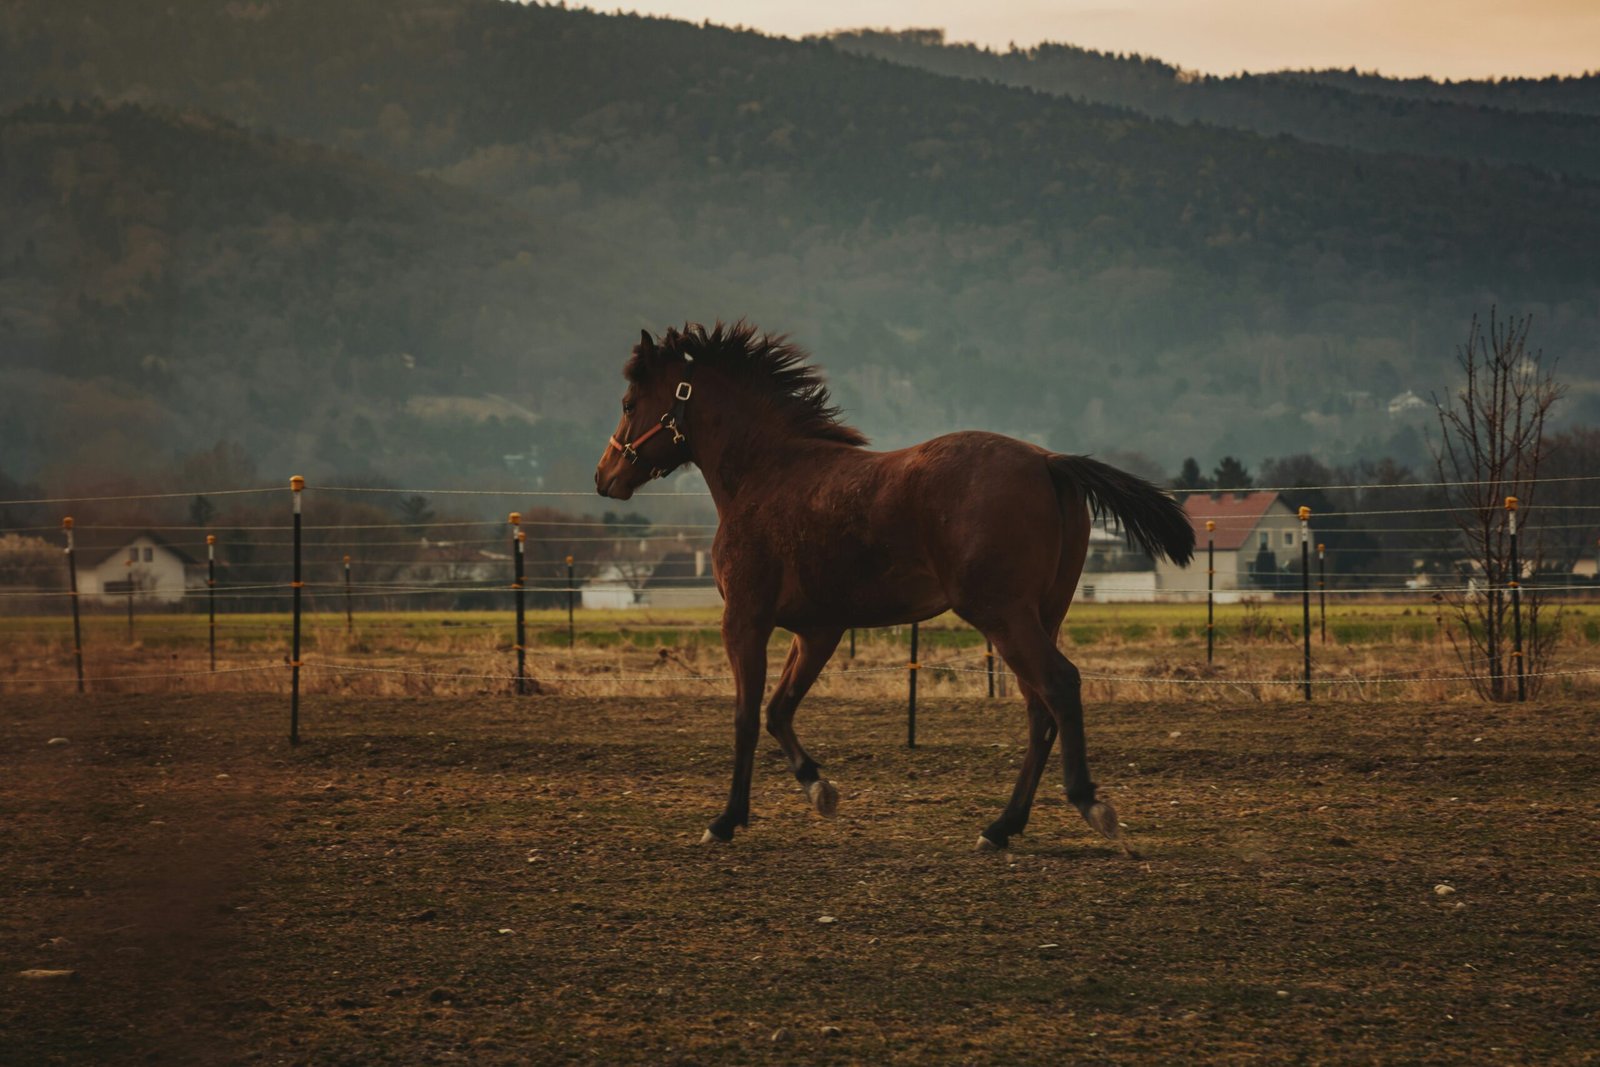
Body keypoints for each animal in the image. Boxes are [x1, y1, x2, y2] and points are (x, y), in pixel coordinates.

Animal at [594, 322, 1195, 852]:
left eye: (628, 403)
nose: (604, 477)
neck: (765, 474)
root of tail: (1048, 462)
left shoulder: (745, 620)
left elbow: (745, 716)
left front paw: (725, 821)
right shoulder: (818, 631)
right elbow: (778, 709)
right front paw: (820, 789)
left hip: (1004, 616)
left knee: (1060, 686)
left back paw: (1089, 805)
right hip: (1041, 616)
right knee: (1038, 710)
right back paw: (1001, 828)